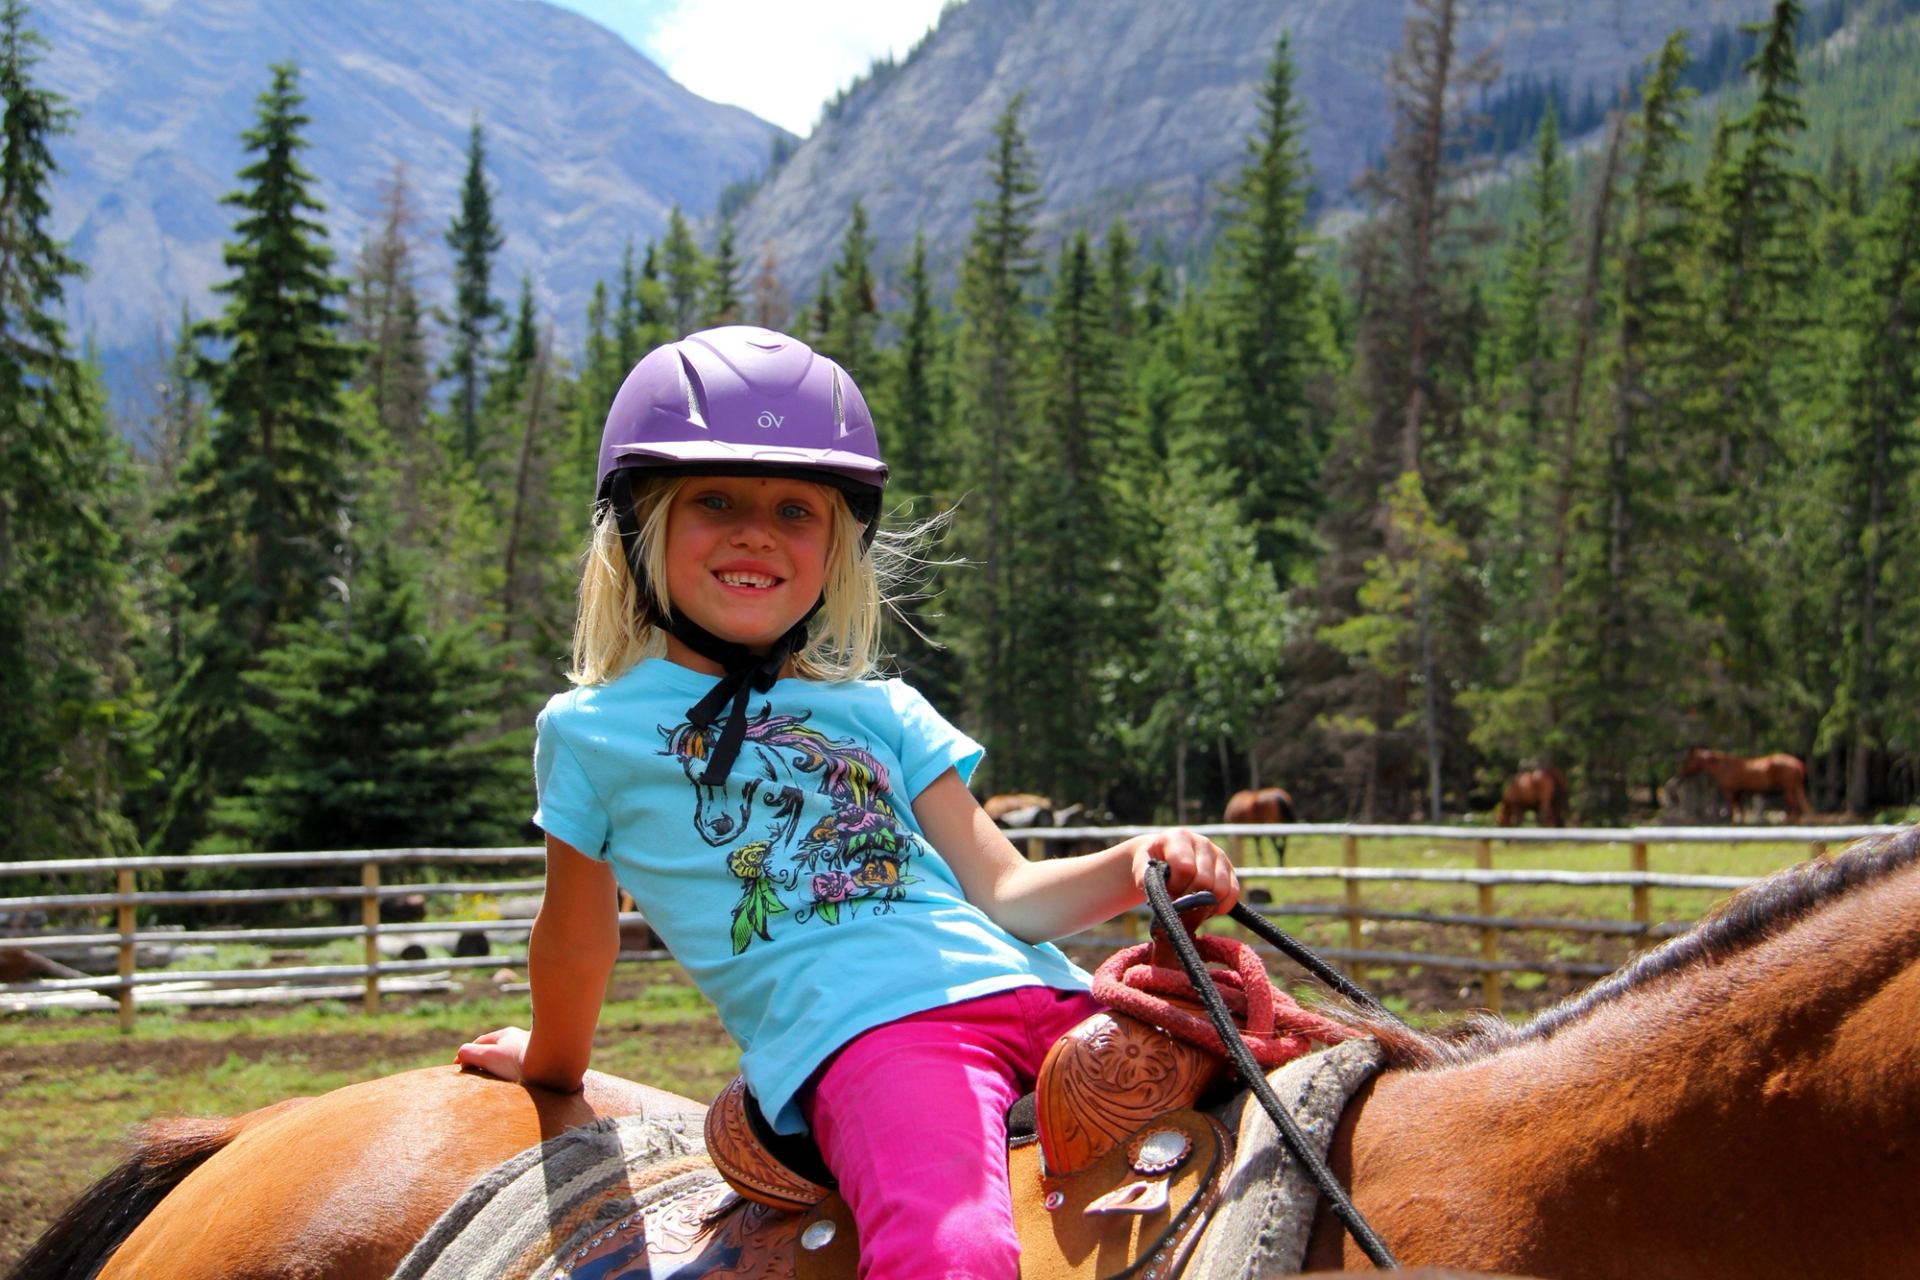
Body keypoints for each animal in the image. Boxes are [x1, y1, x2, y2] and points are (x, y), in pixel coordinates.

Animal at [1676, 747, 1810, 823]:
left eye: (1686, 761)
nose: (1680, 776)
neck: (1724, 766)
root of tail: (1798, 763)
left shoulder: (1729, 792)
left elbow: (1732, 811)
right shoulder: (1739, 793)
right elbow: (1741, 812)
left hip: (1788, 791)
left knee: (1793, 807)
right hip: (1792, 789)